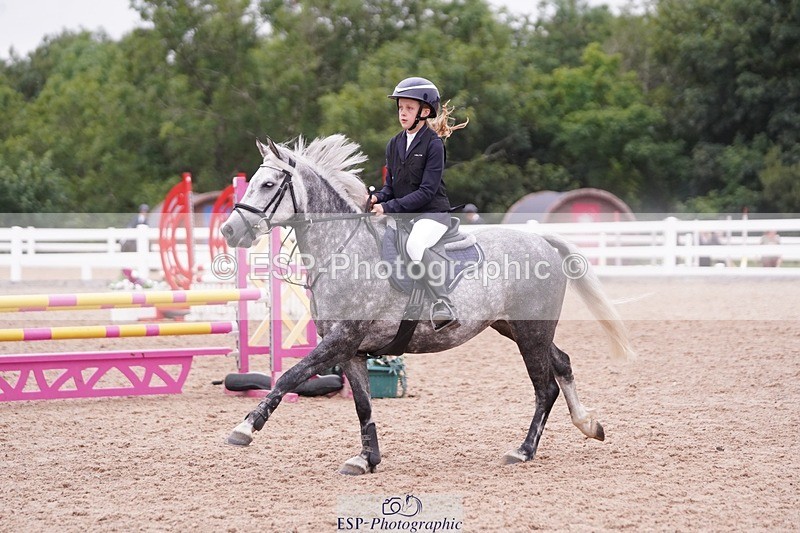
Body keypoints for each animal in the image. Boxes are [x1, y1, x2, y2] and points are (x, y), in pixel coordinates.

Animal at [221, 134, 634, 475]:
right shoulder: (352, 350)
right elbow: (363, 405)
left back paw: (523, 451)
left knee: (545, 387)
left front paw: (245, 428)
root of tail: (542, 240)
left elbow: (289, 376)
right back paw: (588, 425)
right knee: (562, 363)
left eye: (269, 185)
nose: (229, 230)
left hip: (531, 330)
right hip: (516, 327)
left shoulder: (340, 341)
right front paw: (366, 459)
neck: (345, 249)